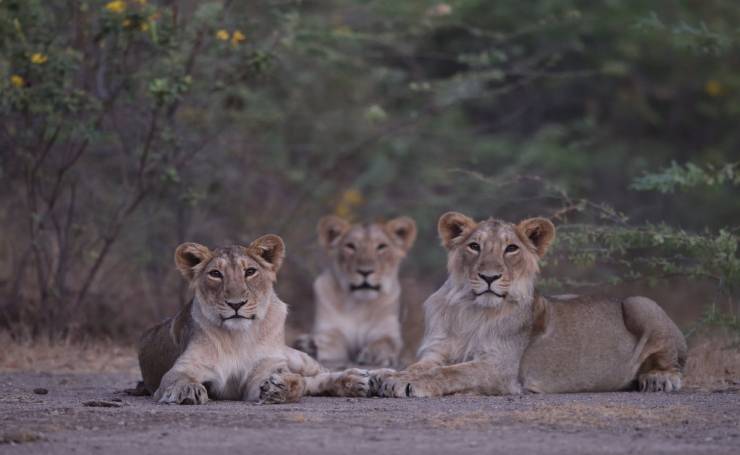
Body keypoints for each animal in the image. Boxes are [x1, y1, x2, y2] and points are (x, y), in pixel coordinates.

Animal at [137, 235, 368, 406]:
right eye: (215, 274)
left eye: (250, 272)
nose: (236, 304)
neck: (238, 337)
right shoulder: (185, 366)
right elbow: (177, 378)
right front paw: (188, 389)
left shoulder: (263, 371)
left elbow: (299, 383)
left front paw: (280, 387)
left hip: (295, 356)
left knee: (320, 373)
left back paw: (364, 379)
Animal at [292, 216, 416, 368]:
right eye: (350, 246)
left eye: (381, 246)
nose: (365, 271)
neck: (359, 305)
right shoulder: (329, 330)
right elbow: (331, 343)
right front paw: (313, 347)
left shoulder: (387, 332)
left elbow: (385, 343)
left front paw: (374, 355)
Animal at [376, 212, 688, 398]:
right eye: (474, 246)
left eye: (511, 248)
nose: (489, 277)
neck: (471, 311)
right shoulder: (436, 351)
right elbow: (420, 366)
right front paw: (386, 375)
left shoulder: (501, 368)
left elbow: (451, 372)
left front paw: (405, 383)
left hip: (641, 303)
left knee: (675, 364)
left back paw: (658, 379)